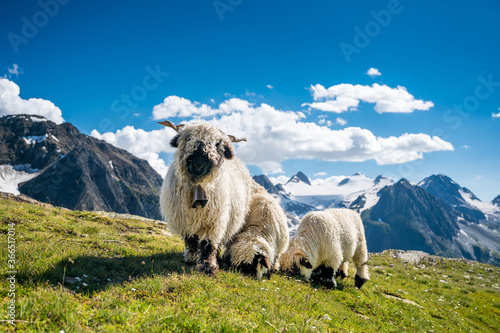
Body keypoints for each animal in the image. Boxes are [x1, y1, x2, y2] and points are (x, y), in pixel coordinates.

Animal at [158, 120, 288, 276]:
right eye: (189, 138)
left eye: (217, 143)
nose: (199, 163)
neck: (199, 186)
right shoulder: (185, 221)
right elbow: (191, 241)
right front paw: (191, 259)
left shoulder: (214, 220)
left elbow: (208, 245)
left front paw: (208, 267)